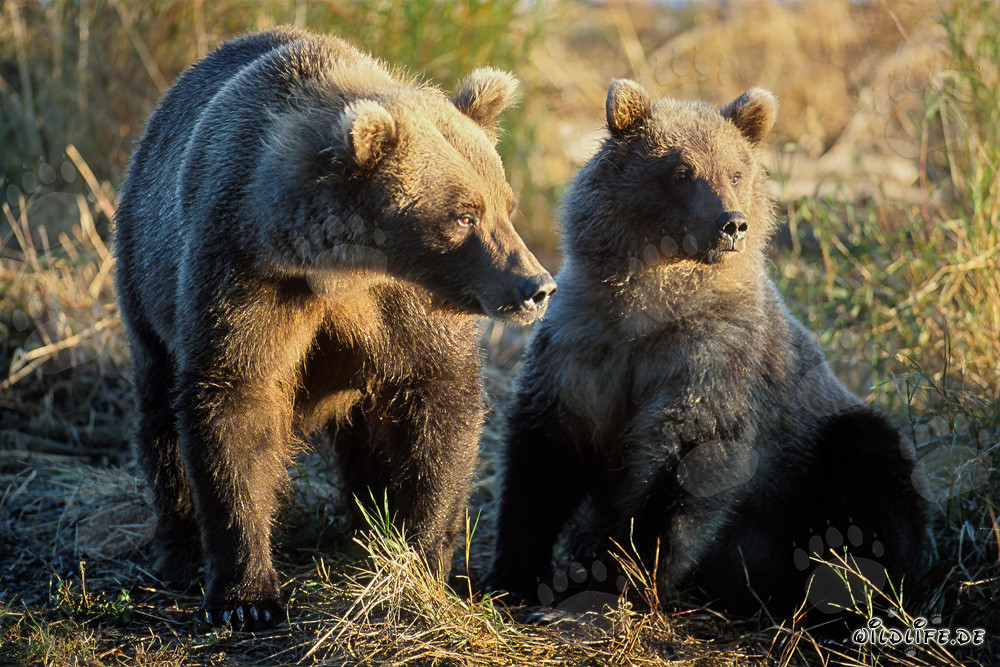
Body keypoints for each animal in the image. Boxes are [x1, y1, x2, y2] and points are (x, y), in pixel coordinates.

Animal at [114, 27, 555, 631]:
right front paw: (247, 596)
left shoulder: (402, 309)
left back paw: (366, 527)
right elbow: (235, 402)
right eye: (463, 214)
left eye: (505, 204)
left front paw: (418, 561)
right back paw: (180, 551)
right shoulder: (247, 275)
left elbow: (438, 406)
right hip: (146, 276)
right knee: (160, 415)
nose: (535, 286)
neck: (340, 274)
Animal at [487, 80, 927, 626]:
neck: (648, 308)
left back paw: (847, 580)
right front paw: (512, 578)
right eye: (680, 171)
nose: (731, 223)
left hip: (820, 452)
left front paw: (611, 589)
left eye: (736, 170)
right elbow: (542, 460)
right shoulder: (581, 349)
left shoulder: (712, 357)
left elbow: (688, 464)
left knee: (874, 464)